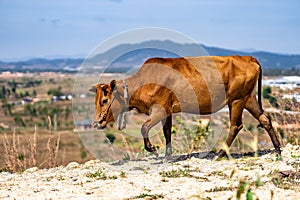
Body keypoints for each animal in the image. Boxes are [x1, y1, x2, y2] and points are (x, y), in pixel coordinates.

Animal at [89, 55, 282, 159]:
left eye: (104, 101)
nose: (95, 122)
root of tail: (248, 57)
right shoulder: (167, 111)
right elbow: (167, 132)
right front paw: (167, 156)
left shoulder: (158, 109)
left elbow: (144, 128)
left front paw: (153, 150)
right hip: (248, 98)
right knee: (265, 118)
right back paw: (278, 149)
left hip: (236, 100)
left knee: (236, 125)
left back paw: (220, 154)